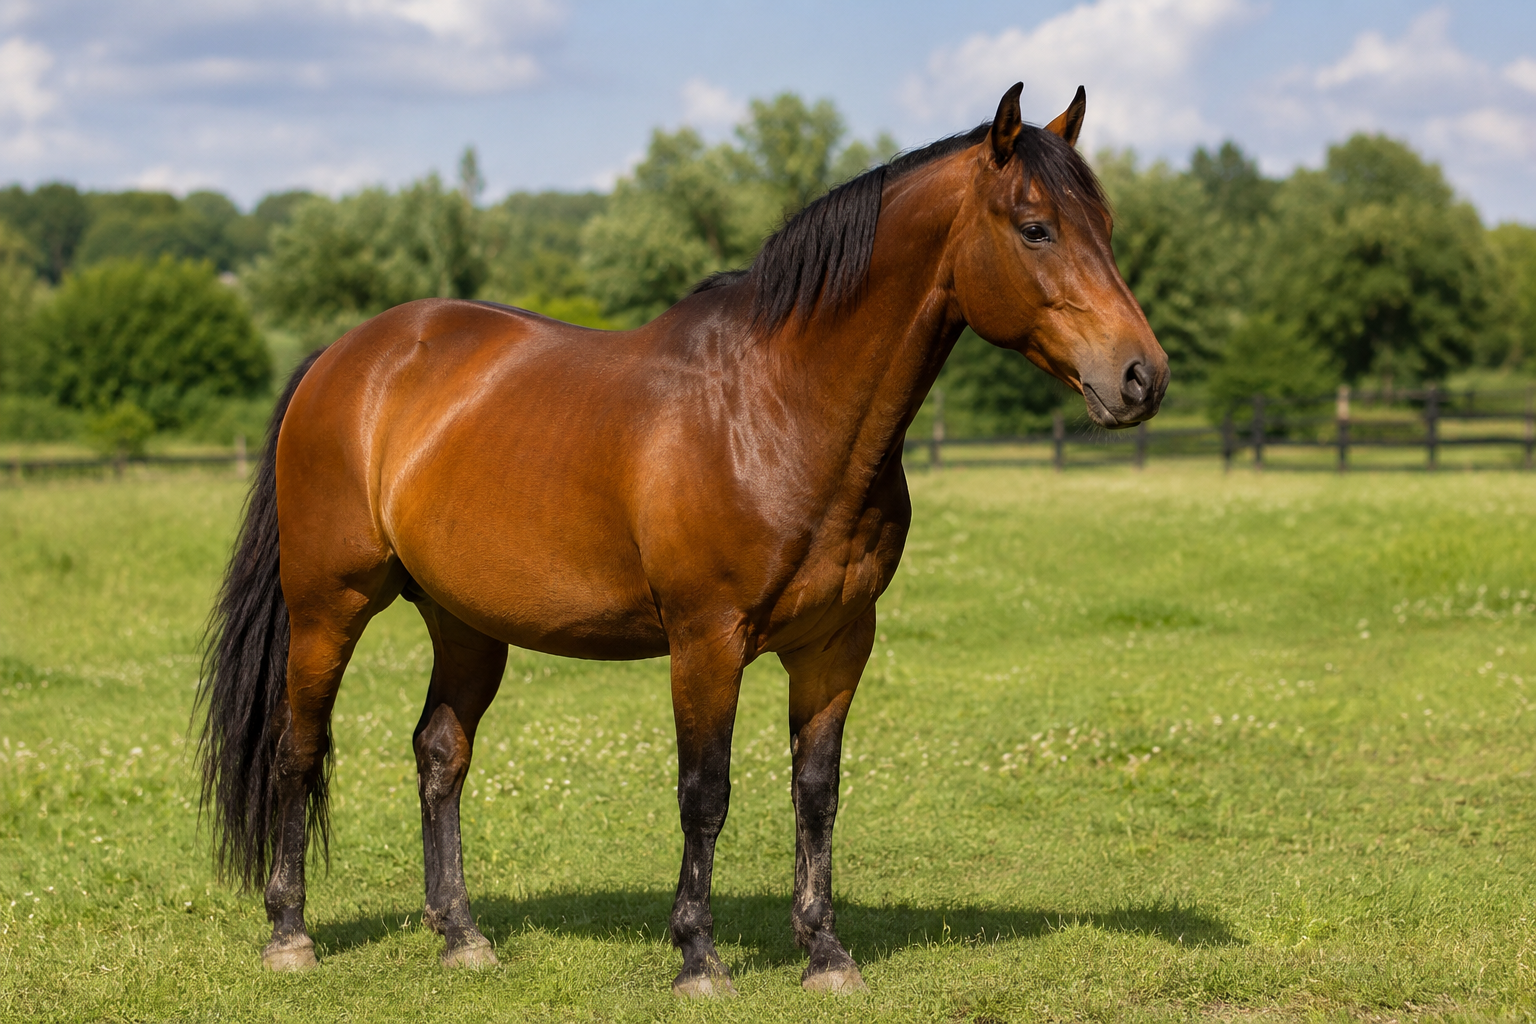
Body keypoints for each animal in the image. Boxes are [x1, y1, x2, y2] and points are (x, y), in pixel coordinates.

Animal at [198, 82, 1167, 996]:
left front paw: (825, 952)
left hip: (464, 621)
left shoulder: (837, 643)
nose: (1141, 377)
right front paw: (698, 956)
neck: (775, 409)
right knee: (297, 749)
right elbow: (706, 794)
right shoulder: (706, 641)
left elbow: (817, 794)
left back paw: (462, 936)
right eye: (1036, 228)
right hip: (329, 605)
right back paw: (289, 935)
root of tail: (345, 358)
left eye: (1108, 227)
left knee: (441, 754)